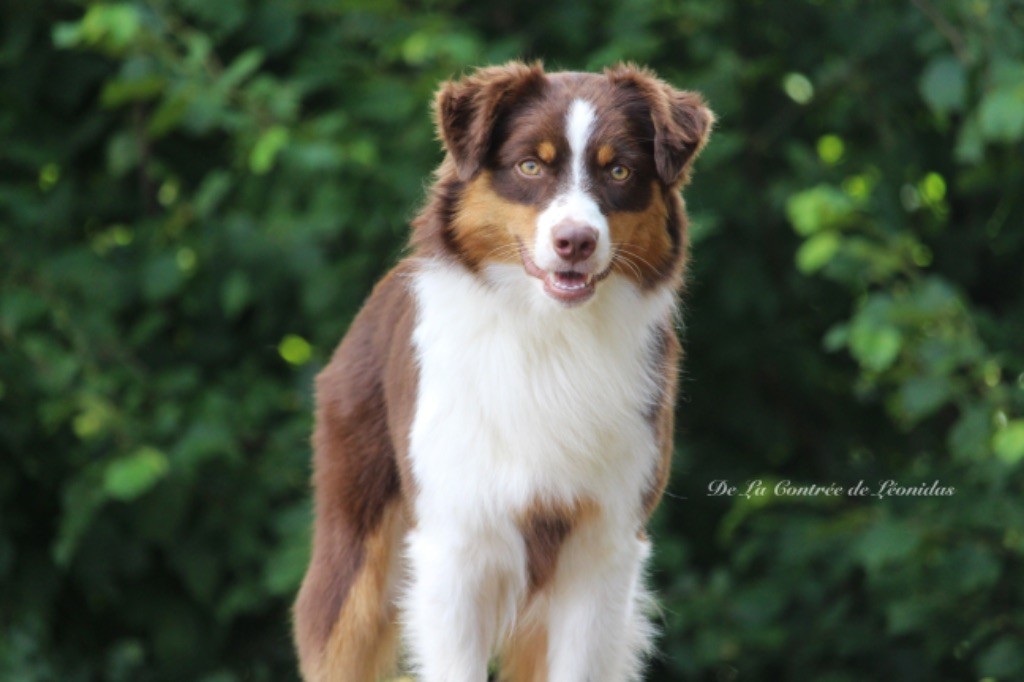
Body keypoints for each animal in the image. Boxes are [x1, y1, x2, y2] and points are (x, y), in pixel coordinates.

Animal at [294, 62, 712, 679]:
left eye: (619, 170)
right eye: (530, 166)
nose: (575, 242)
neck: (550, 336)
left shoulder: (603, 544)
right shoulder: (455, 544)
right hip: (355, 543)